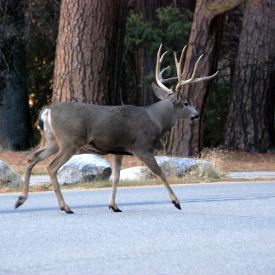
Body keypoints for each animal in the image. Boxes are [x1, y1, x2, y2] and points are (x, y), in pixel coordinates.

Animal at [15, 44, 219, 213]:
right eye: (186, 103)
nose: (196, 114)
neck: (156, 121)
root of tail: (47, 110)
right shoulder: (143, 147)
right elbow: (159, 172)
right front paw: (176, 202)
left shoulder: (117, 150)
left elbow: (116, 176)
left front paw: (113, 205)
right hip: (69, 141)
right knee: (51, 167)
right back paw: (65, 207)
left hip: (52, 140)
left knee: (31, 157)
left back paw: (21, 199)